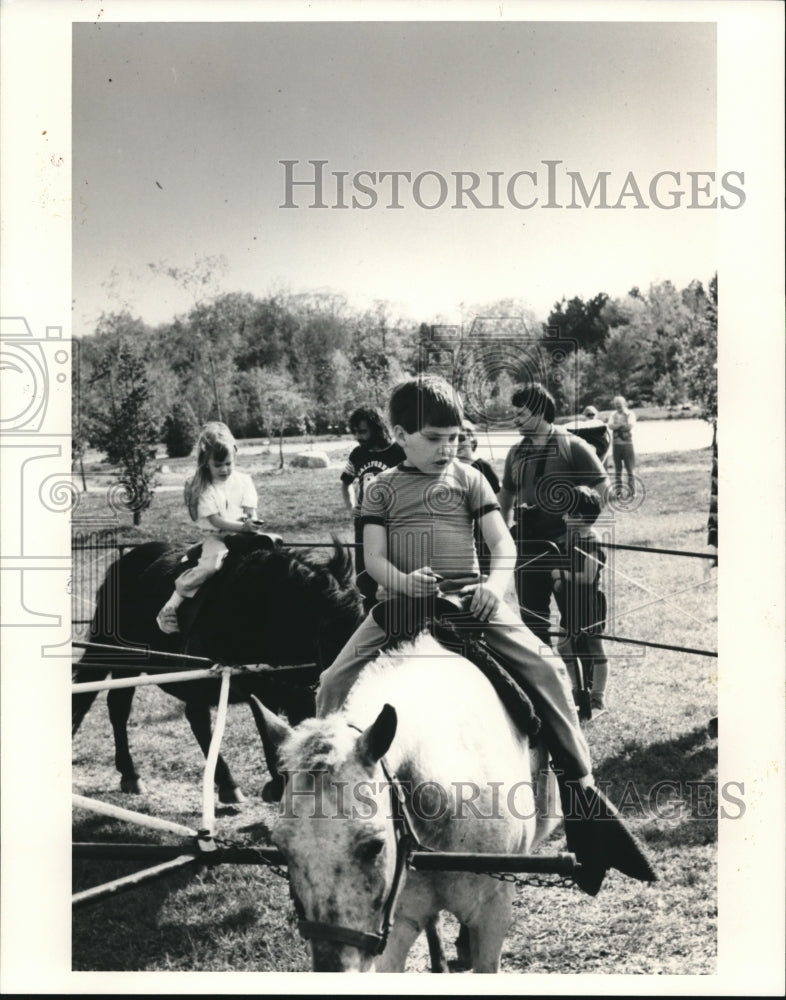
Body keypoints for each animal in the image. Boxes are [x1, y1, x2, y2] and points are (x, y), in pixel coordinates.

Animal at [72, 536, 362, 800]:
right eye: (331, 632)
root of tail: (123, 562)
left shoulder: (298, 693)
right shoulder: (255, 686)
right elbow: (267, 728)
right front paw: (278, 785)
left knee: (153, 710)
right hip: (114, 654)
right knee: (101, 702)